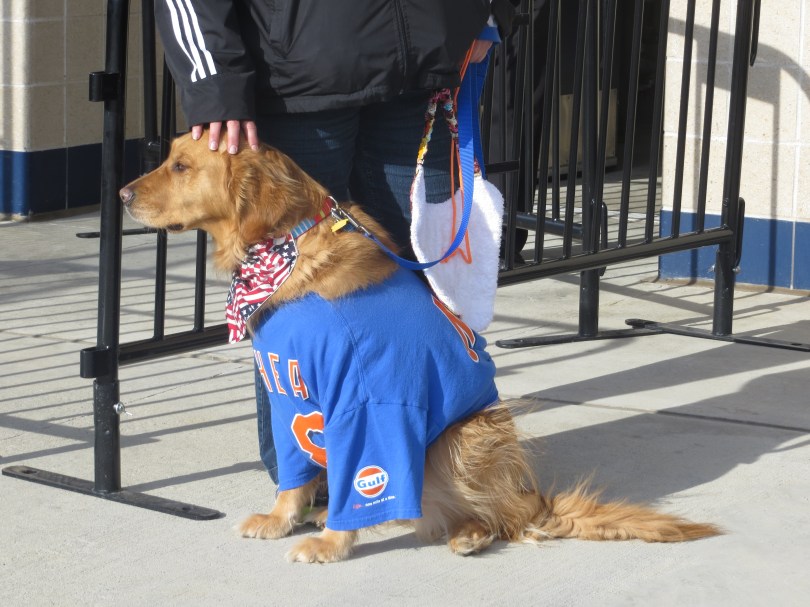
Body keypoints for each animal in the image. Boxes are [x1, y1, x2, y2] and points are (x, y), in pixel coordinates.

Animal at [120, 132, 719, 563]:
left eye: (180, 166)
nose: (122, 195)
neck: (285, 251)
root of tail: (533, 497)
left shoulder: (367, 403)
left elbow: (365, 476)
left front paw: (331, 543)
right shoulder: (288, 394)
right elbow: (294, 475)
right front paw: (282, 517)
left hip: (461, 439)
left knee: (506, 519)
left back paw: (472, 533)